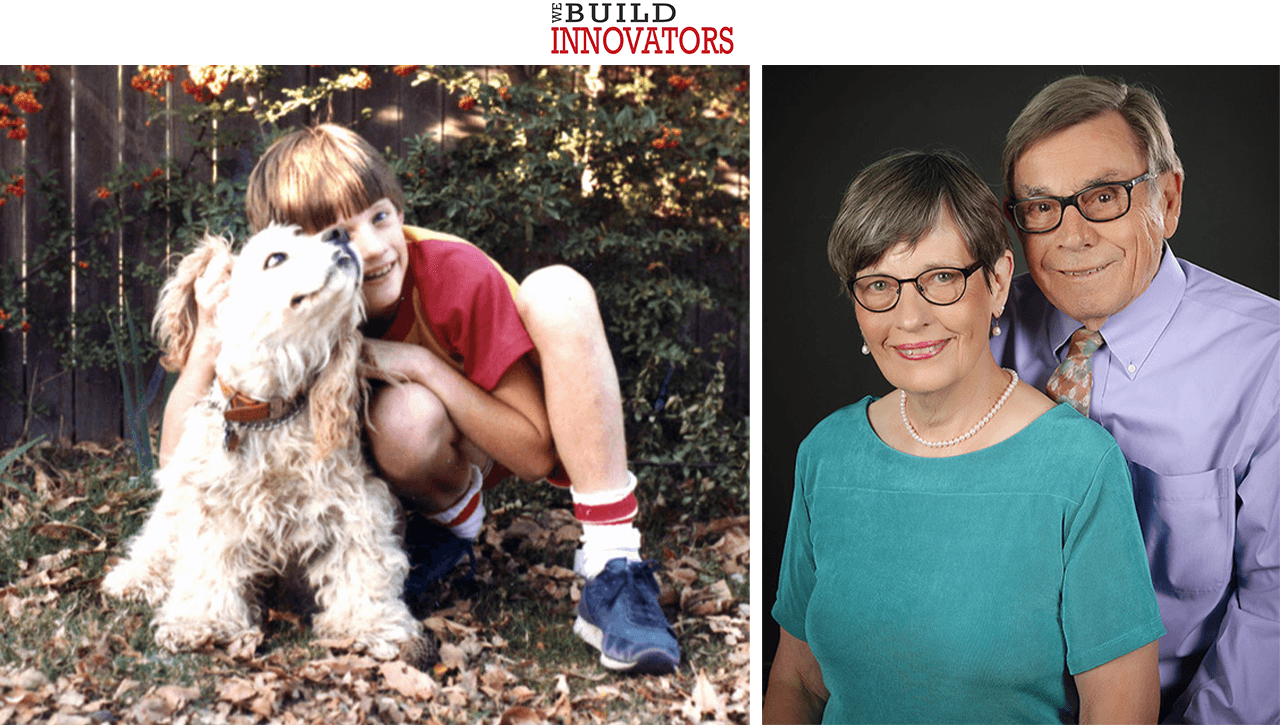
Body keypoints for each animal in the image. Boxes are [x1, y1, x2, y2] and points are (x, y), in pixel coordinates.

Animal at [104, 225, 424, 666]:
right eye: (276, 258)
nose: (340, 232)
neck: (270, 412)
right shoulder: (213, 506)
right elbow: (208, 564)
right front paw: (201, 622)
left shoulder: (354, 503)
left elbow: (362, 562)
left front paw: (371, 625)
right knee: (157, 539)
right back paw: (135, 577)